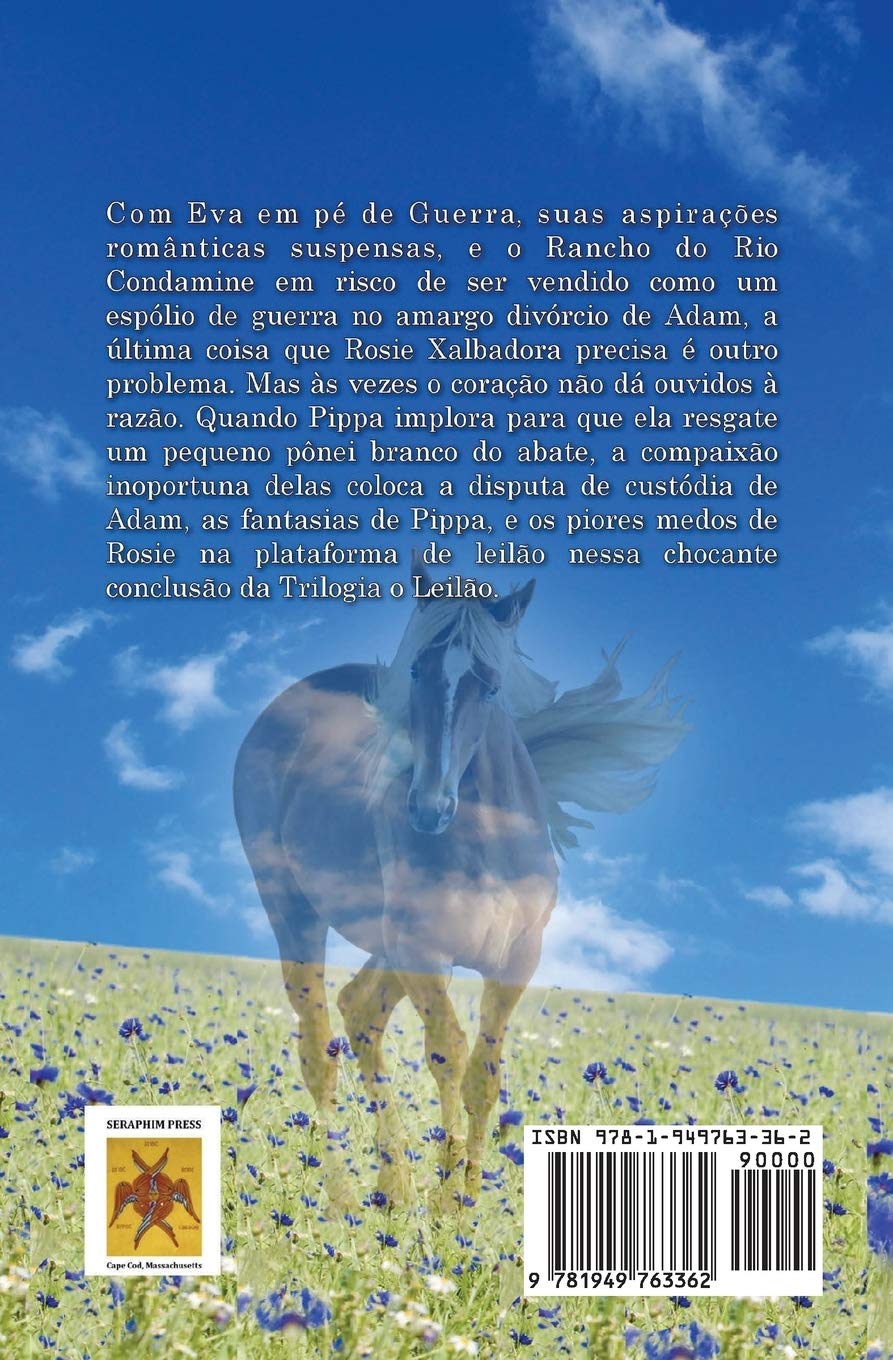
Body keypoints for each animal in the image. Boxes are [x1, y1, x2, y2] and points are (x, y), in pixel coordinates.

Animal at [233, 558, 686, 1207]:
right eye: (416, 669)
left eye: (491, 685)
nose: (427, 809)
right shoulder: (424, 952)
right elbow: (447, 1057)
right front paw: (448, 1204)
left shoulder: (515, 959)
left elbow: (483, 1077)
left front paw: (463, 1203)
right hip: (294, 910)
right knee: (318, 1044)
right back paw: (343, 1201)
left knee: (358, 1010)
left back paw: (393, 1191)